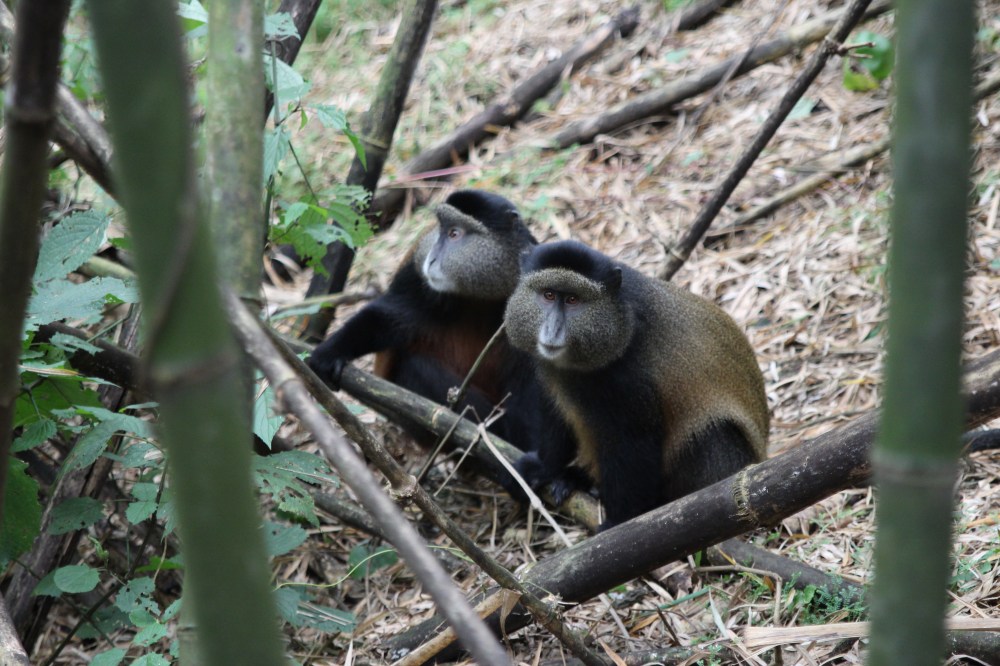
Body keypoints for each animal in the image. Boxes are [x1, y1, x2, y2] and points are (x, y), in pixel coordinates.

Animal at [307, 189, 545, 453]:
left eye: (454, 234)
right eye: (441, 229)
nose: (430, 259)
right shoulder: (416, 275)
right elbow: (393, 315)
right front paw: (330, 352)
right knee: (415, 366)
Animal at [504, 240, 769, 530]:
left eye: (573, 300)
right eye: (549, 295)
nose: (553, 329)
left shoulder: (629, 381)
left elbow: (633, 445)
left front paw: (621, 522)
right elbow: (555, 417)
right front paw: (544, 468)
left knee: (713, 434)